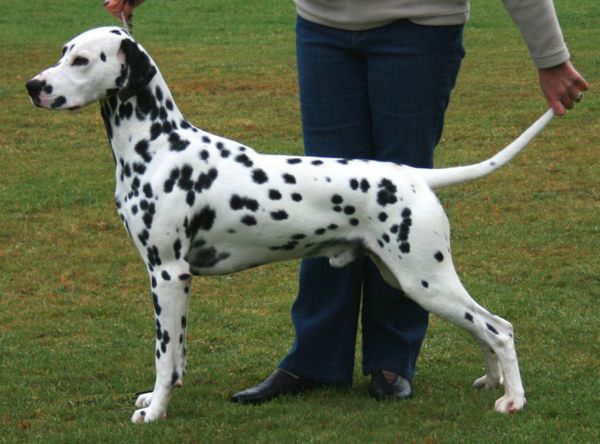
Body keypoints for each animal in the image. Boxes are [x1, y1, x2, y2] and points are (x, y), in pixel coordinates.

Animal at [26, 27, 555, 423]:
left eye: (81, 60)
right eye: (62, 52)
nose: (33, 86)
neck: (158, 145)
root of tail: (414, 175)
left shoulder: (167, 273)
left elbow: (162, 351)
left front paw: (155, 411)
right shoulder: (178, 280)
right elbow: (177, 354)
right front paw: (161, 395)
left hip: (424, 279)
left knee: (499, 328)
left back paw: (513, 399)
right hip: (409, 278)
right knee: (483, 328)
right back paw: (493, 381)